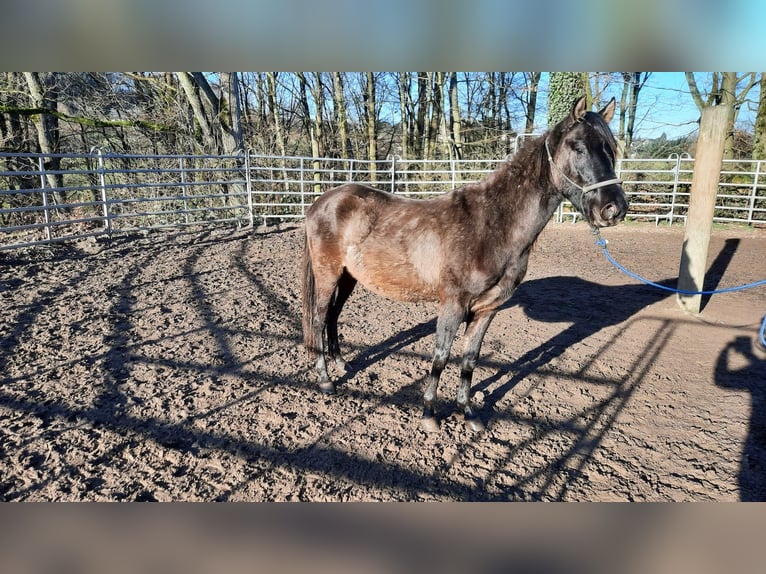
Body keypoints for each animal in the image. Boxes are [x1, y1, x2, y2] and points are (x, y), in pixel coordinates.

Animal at [300, 97, 632, 434]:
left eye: (610, 148)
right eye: (577, 147)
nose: (613, 209)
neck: (491, 225)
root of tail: (322, 202)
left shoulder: (487, 309)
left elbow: (470, 359)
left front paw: (468, 412)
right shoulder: (453, 304)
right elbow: (441, 356)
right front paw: (429, 414)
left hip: (348, 277)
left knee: (332, 316)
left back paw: (342, 364)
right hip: (328, 274)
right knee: (318, 318)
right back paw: (326, 380)